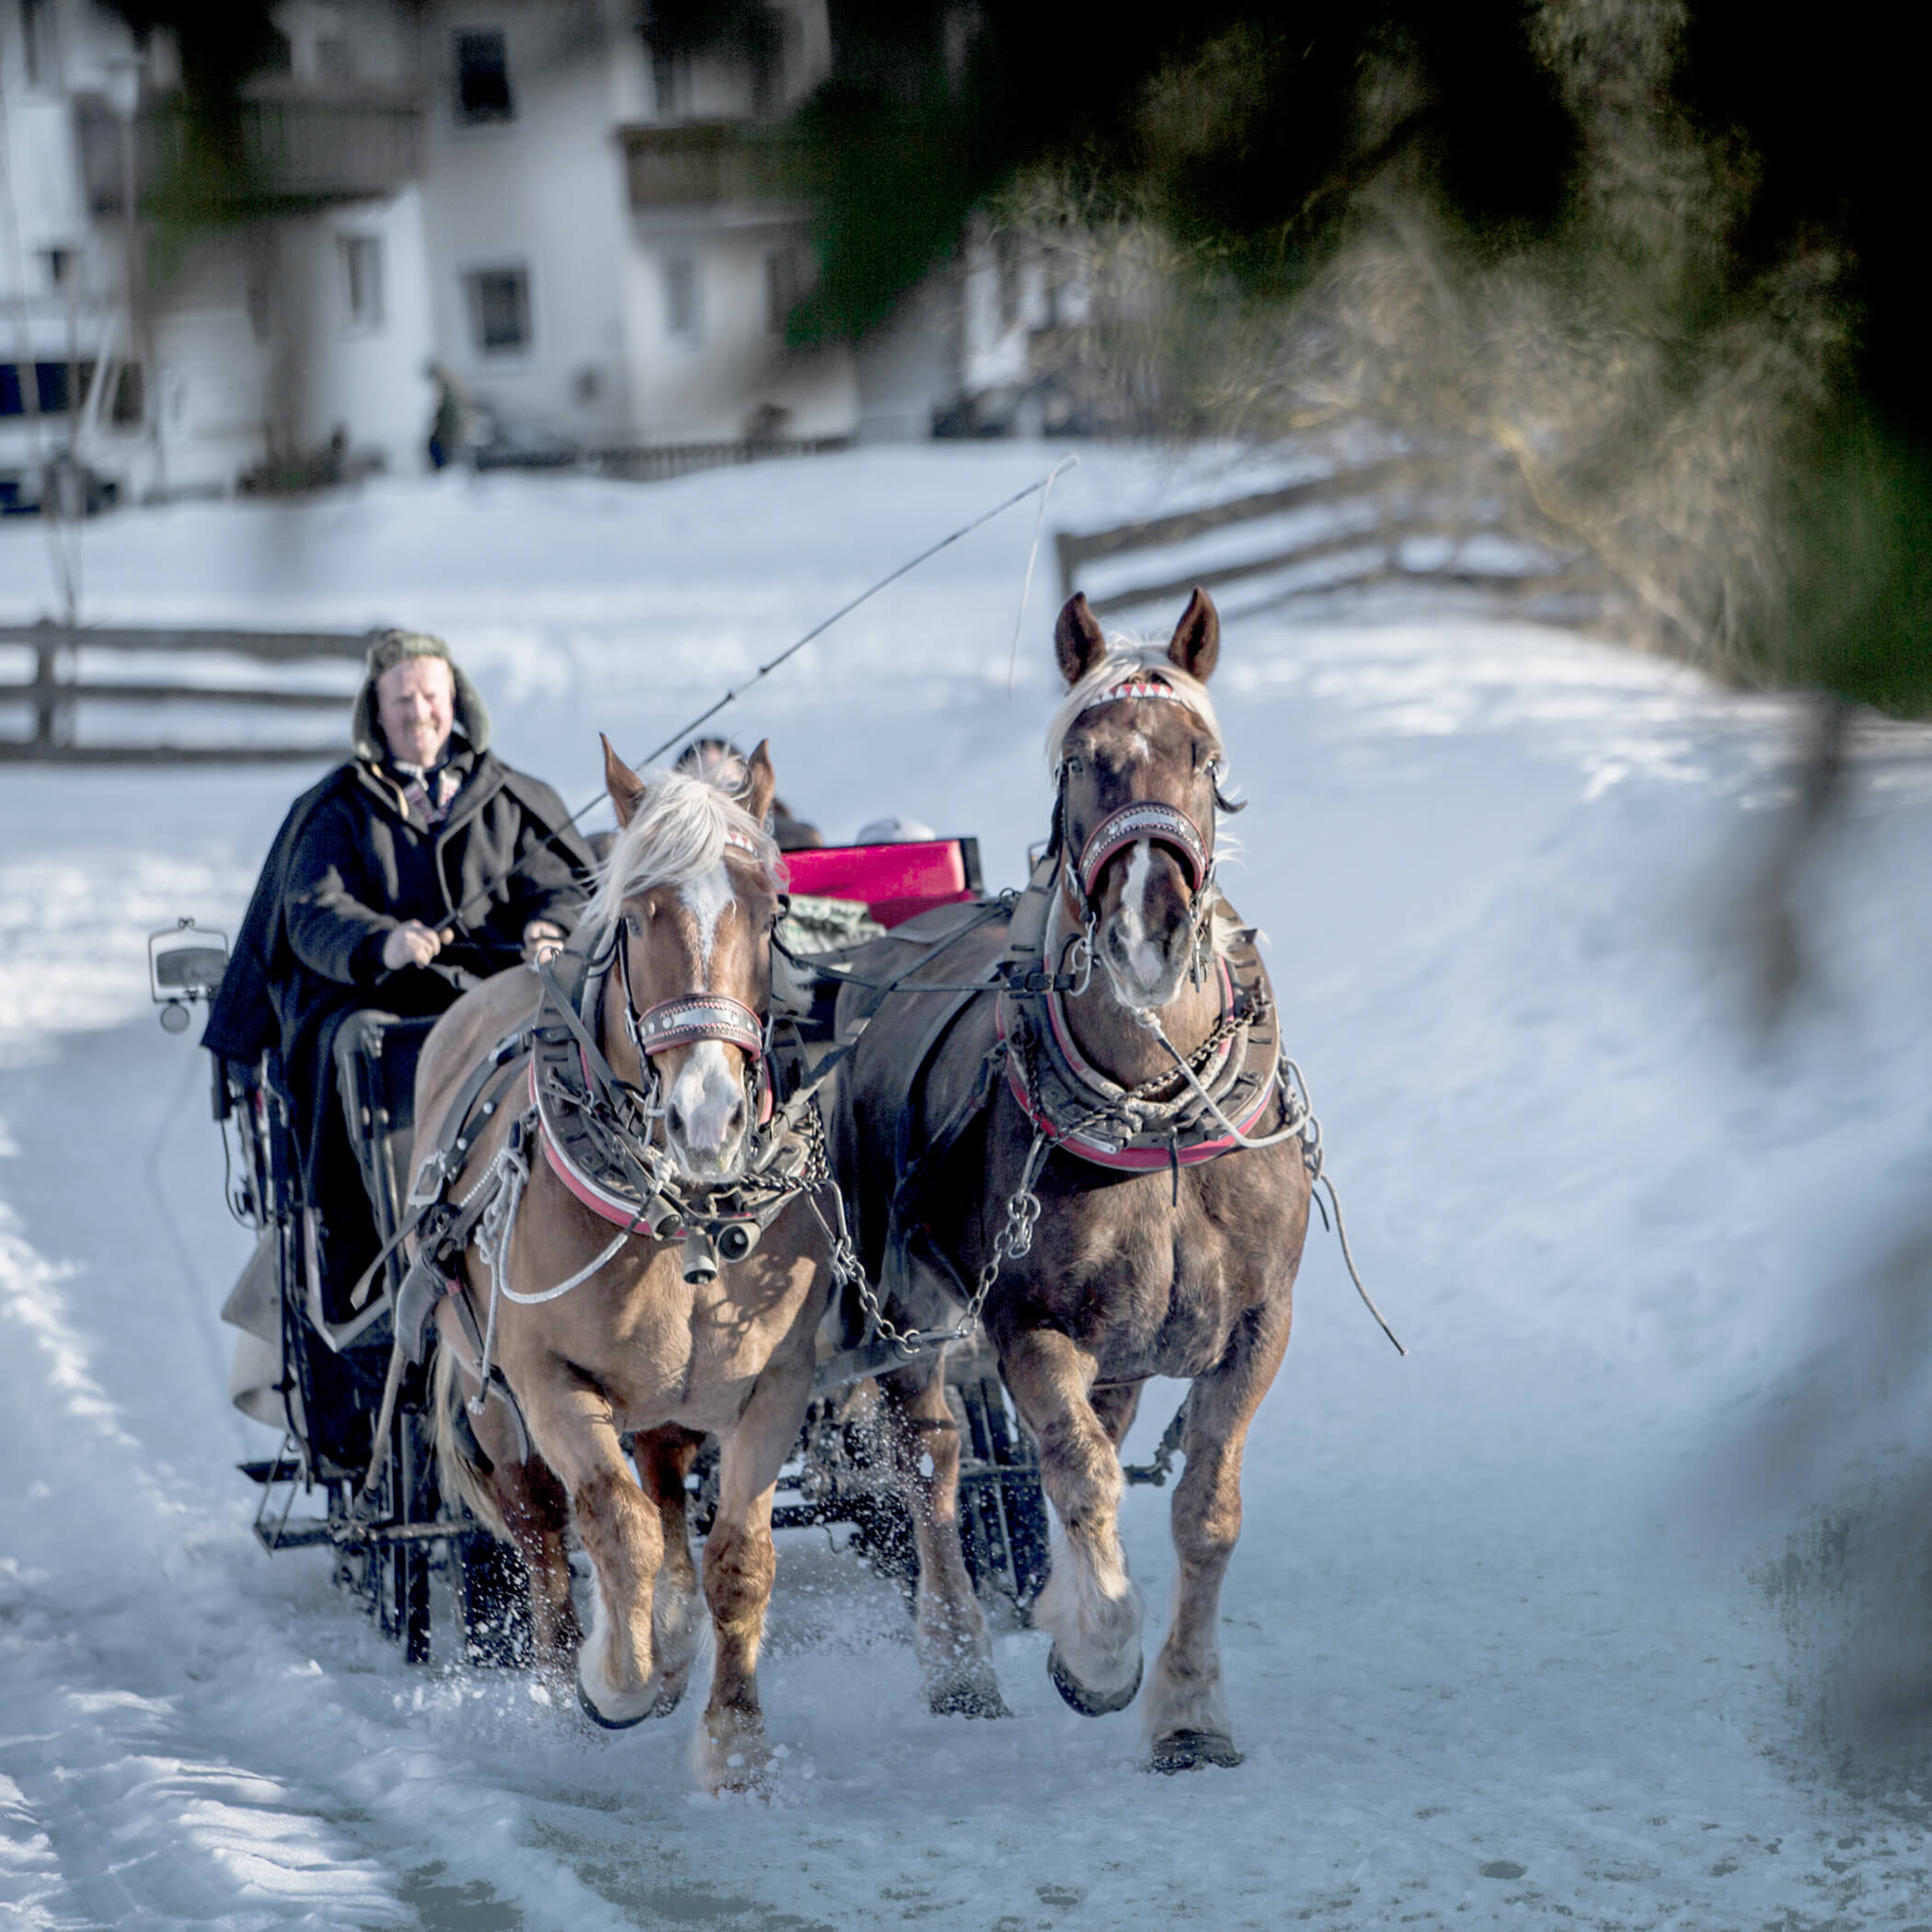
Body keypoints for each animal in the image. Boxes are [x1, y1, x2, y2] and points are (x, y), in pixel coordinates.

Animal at [413, 739, 832, 1792]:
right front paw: (620, 1675)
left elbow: (739, 1558)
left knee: (666, 1469)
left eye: (771, 905)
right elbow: (616, 1527)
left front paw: (734, 1746)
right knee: (541, 1524)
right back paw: (568, 1675)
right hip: (487, 1389)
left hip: (672, 1391)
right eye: (639, 912)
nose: (706, 1116)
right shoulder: (547, 1381)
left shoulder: (778, 1381)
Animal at [833, 588, 1314, 1771]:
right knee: (938, 1463)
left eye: (1203, 757)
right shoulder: (1028, 1325)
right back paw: (960, 1662)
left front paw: (1188, 1711)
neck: (1157, 1108)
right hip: (906, 1315)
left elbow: (1204, 1509)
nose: (1149, 925)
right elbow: (1080, 1473)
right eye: (1081, 760)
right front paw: (1098, 1654)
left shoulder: (1257, 1325)